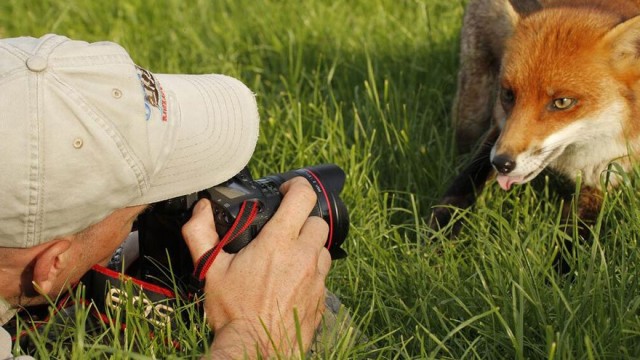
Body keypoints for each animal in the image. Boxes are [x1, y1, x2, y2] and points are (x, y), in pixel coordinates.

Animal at [432, 0, 640, 258]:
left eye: (562, 102)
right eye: (508, 95)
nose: (502, 163)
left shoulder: (608, 169)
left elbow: (574, 236)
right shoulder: (499, 127)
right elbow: (466, 179)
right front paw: (437, 235)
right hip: (470, 112)